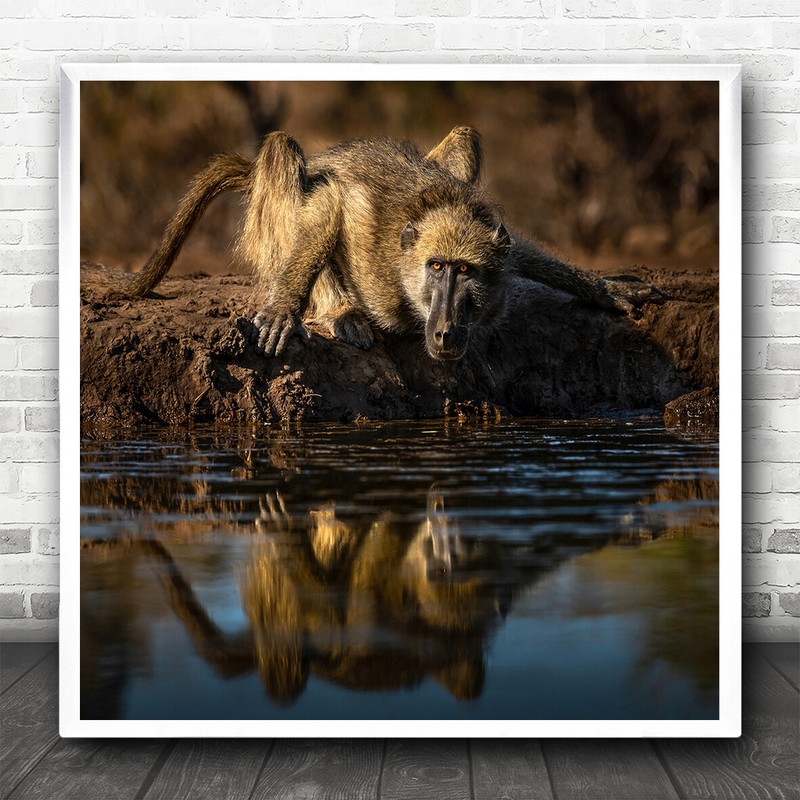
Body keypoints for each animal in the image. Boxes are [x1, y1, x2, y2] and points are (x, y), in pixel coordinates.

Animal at [123, 126, 663, 360]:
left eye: (465, 270)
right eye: (437, 267)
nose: (445, 332)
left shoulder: (494, 234)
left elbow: (520, 249)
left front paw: (606, 288)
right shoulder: (363, 227)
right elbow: (333, 200)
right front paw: (285, 310)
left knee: (465, 135)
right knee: (284, 150)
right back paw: (339, 312)